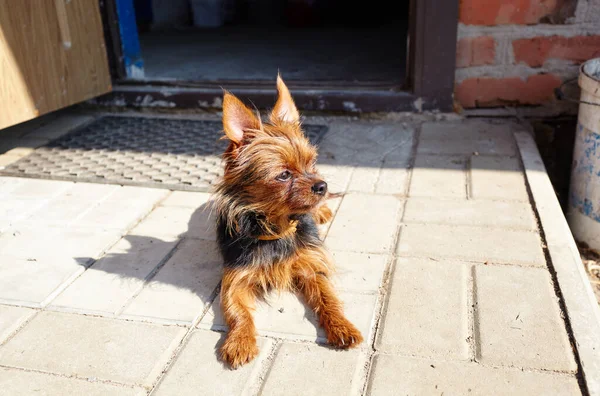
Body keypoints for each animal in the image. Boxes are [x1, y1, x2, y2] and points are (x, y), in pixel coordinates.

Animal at [216, 76, 366, 368]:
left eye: (312, 163)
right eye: (284, 175)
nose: (322, 185)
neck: (278, 228)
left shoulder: (311, 267)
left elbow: (328, 298)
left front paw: (341, 326)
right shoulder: (236, 277)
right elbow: (237, 311)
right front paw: (239, 341)